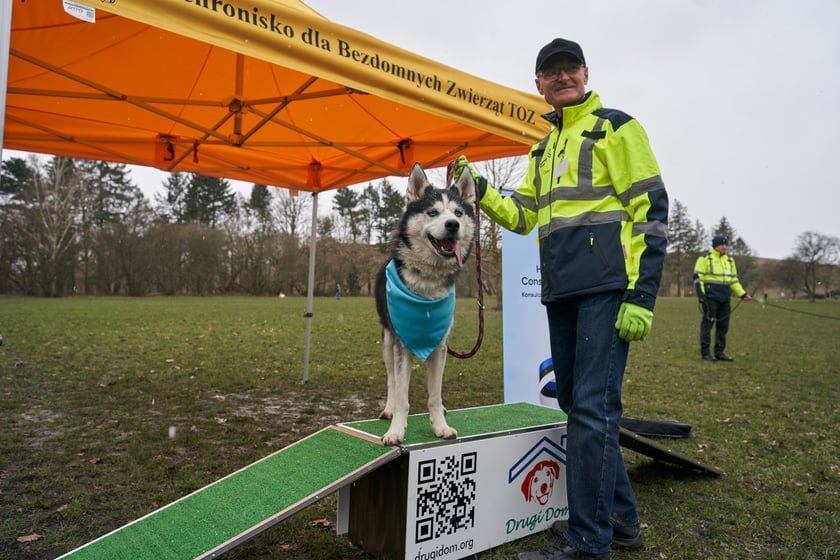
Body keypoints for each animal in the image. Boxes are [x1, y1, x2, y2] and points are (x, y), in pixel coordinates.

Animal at [376, 162, 476, 446]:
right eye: (432, 212)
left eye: (458, 213)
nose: (453, 225)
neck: (427, 282)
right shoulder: (401, 345)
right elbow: (402, 395)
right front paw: (396, 431)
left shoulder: (440, 345)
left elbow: (435, 394)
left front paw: (440, 426)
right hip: (388, 343)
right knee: (391, 380)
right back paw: (388, 409)